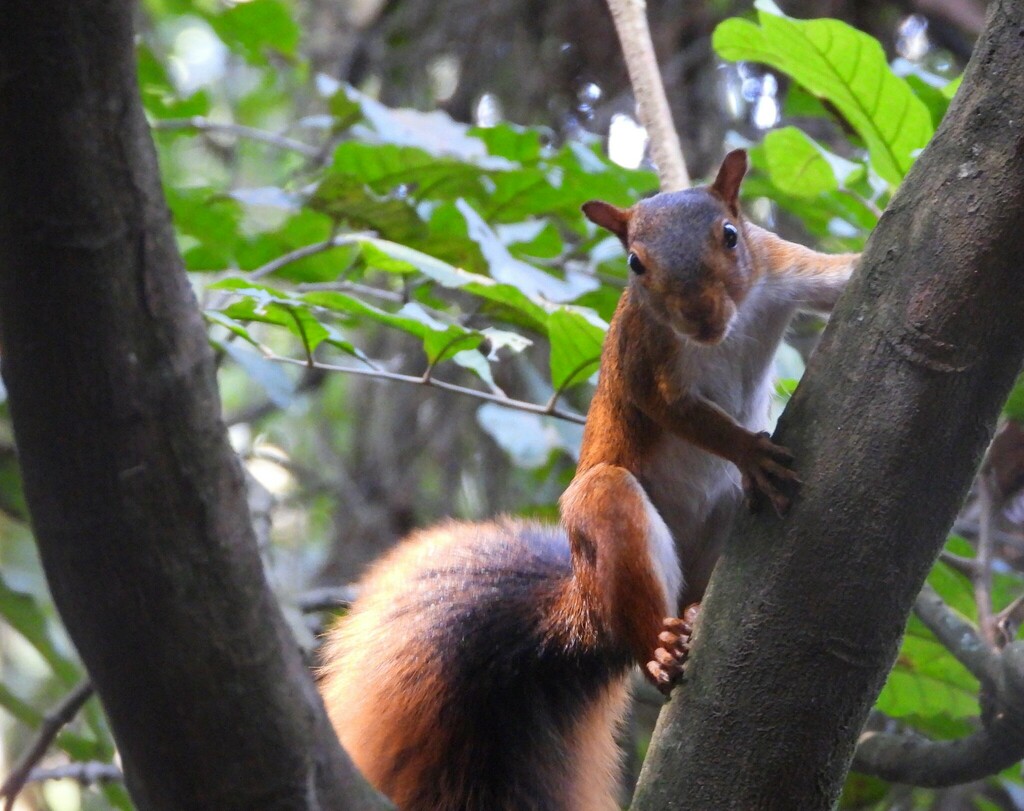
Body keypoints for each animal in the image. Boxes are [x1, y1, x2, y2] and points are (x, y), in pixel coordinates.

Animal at [318, 149, 860, 810]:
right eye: (634, 263)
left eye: (731, 235)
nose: (700, 318)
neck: (728, 331)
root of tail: (585, 603)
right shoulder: (647, 357)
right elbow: (677, 410)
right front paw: (747, 450)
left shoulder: (781, 267)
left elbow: (842, 276)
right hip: (609, 511)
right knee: (638, 612)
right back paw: (660, 646)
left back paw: (696, 611)